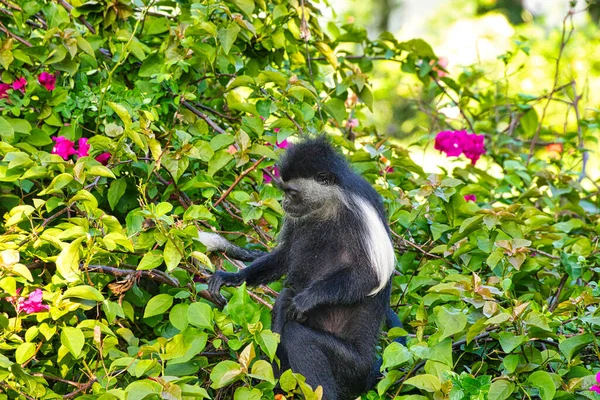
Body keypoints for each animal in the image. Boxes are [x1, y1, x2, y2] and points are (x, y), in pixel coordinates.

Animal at [203, 138, 404, 400]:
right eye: (284, 192)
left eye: (292, 192)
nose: (284, 203)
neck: (328, 204)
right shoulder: (299, 219)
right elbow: (286, 256)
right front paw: (234, 277)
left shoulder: (359, 213)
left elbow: (370, 276)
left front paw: (306, 300)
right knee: (284, 299)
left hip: (352, 368)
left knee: (299, 335)